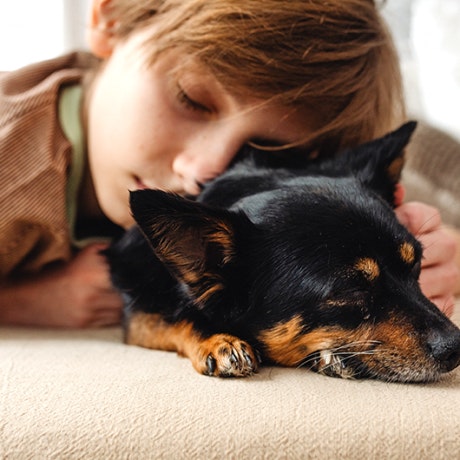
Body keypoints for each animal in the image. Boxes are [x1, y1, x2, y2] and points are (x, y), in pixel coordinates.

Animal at [104, 121, 460, 380]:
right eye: (352, 289)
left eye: (417, 266)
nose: (456, 347)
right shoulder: (140, 309)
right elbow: (176, 317)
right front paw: (218, 340)